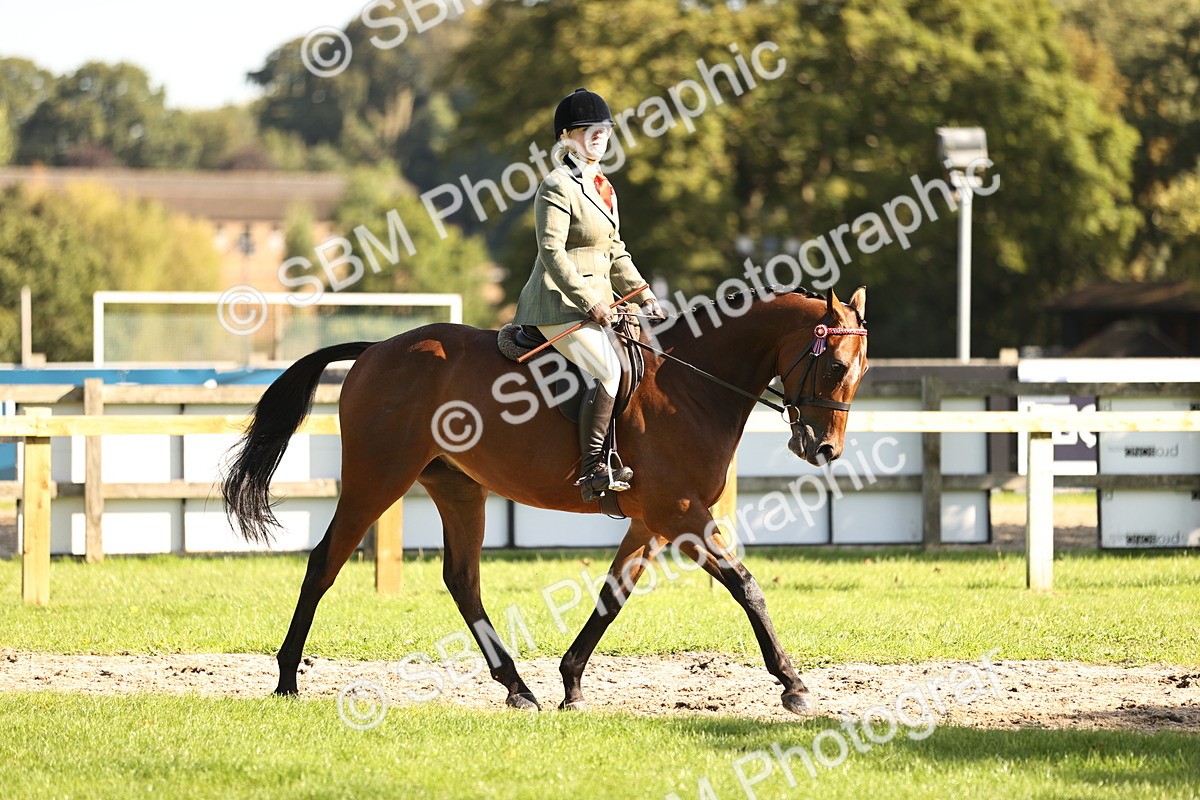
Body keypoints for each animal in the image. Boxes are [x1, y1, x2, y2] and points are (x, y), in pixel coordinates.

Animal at [222, 284, 868, 713]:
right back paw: (287, 679)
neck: (692, 385)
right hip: (376, 479)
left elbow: (612, 595)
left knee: (462, 580)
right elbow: (745, 585)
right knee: (324, 562)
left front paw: (571, 683)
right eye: (835, 365)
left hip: (458, 488)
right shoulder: (681, 514)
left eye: (860, 371)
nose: (825, 449)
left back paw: (517, 686)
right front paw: (793, 685)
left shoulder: (652, 521)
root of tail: (378, 348)